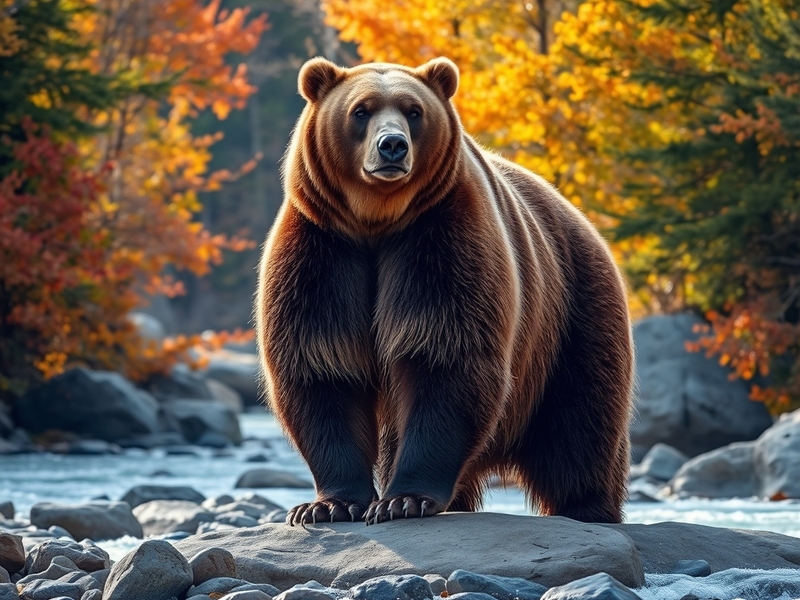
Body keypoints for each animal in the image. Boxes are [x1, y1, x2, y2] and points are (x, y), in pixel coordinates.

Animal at [255, 56, 634, 526]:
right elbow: (323, 364)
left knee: (580, 420)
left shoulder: (439, 237)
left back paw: (586, 507)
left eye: (413, 110)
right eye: (361, 110)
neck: (376, 222)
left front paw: (403, 500)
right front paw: (327, 506)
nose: (392, 146)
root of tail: (580, 218)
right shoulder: (323, 249)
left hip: (572, 309)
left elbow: (443, 355)